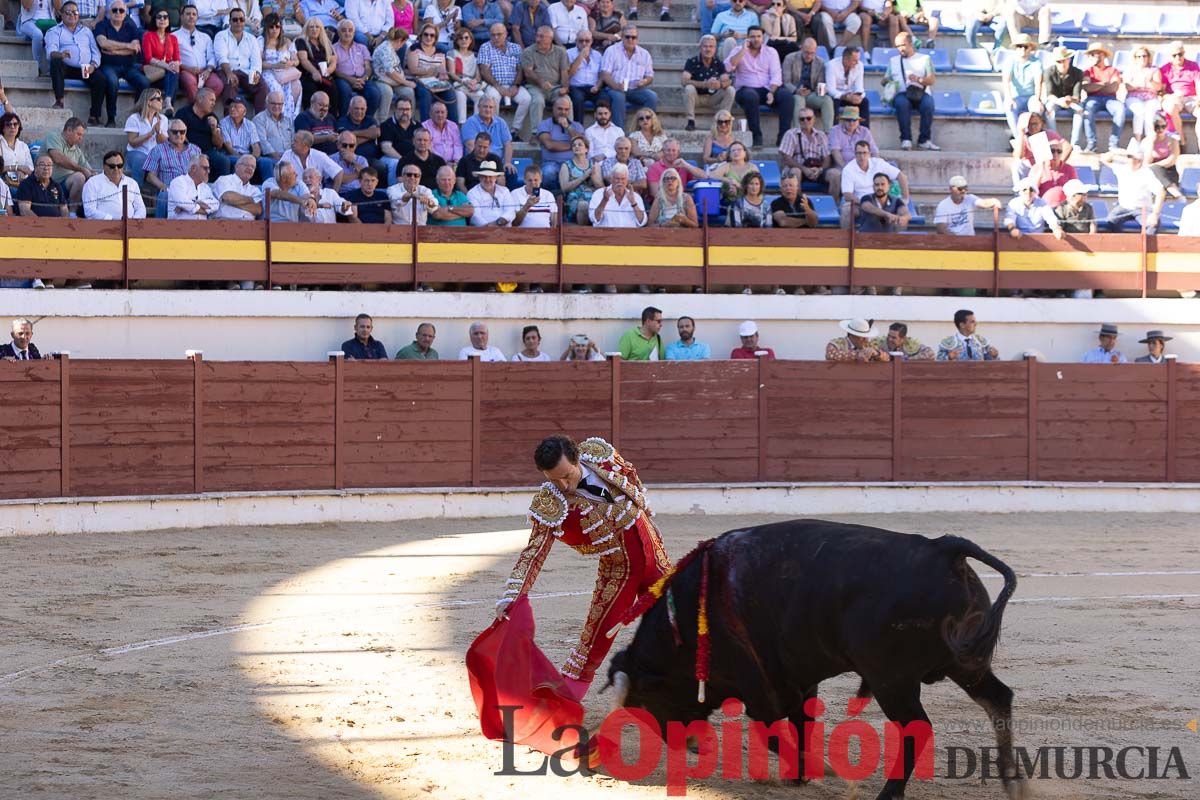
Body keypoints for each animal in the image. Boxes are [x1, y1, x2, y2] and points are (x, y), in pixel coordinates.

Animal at [604, 520, 1027, 800]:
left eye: (649, 702)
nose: (688, 745)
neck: (687, 618)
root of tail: (944, 548)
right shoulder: (797, 677)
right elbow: (801, 721)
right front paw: (801, 774)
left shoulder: (755, 683)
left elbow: (771, 730)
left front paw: (813, 768)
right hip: (965, 664)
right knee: (997, 699)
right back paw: (1015, 783)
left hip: (891, 678)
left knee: (917, 728)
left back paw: (889, 793)